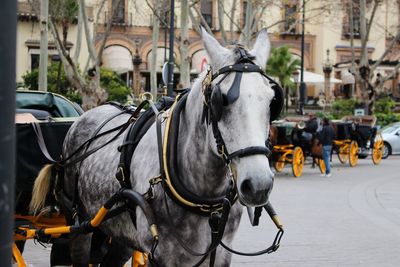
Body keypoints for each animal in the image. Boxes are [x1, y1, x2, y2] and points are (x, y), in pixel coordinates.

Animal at [30, 28, 282, 266]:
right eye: (220, 101)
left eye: (273, 101)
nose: (258, 184)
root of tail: (86, 114)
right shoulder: (160, 255)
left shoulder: (219, 254)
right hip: (80, 223)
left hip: (122, 235)